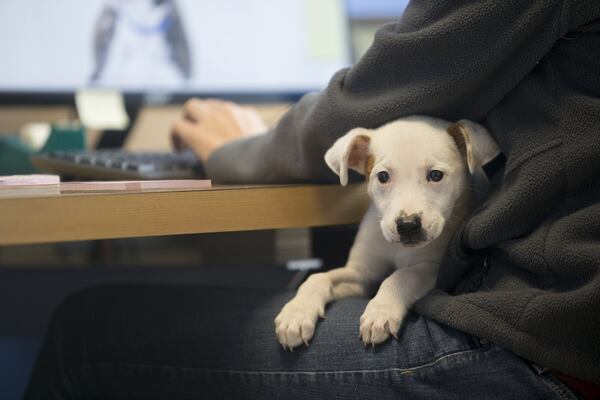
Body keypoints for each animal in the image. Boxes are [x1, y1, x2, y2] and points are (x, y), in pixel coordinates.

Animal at [274, 115, 500, 346]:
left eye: (436, 175)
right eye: (383, 176)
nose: (407, 225)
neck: (398, 249)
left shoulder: (434, 267)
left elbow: (402, 275)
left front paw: (380, 312)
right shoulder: (361, 273)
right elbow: (318, 277)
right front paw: (296, 313)